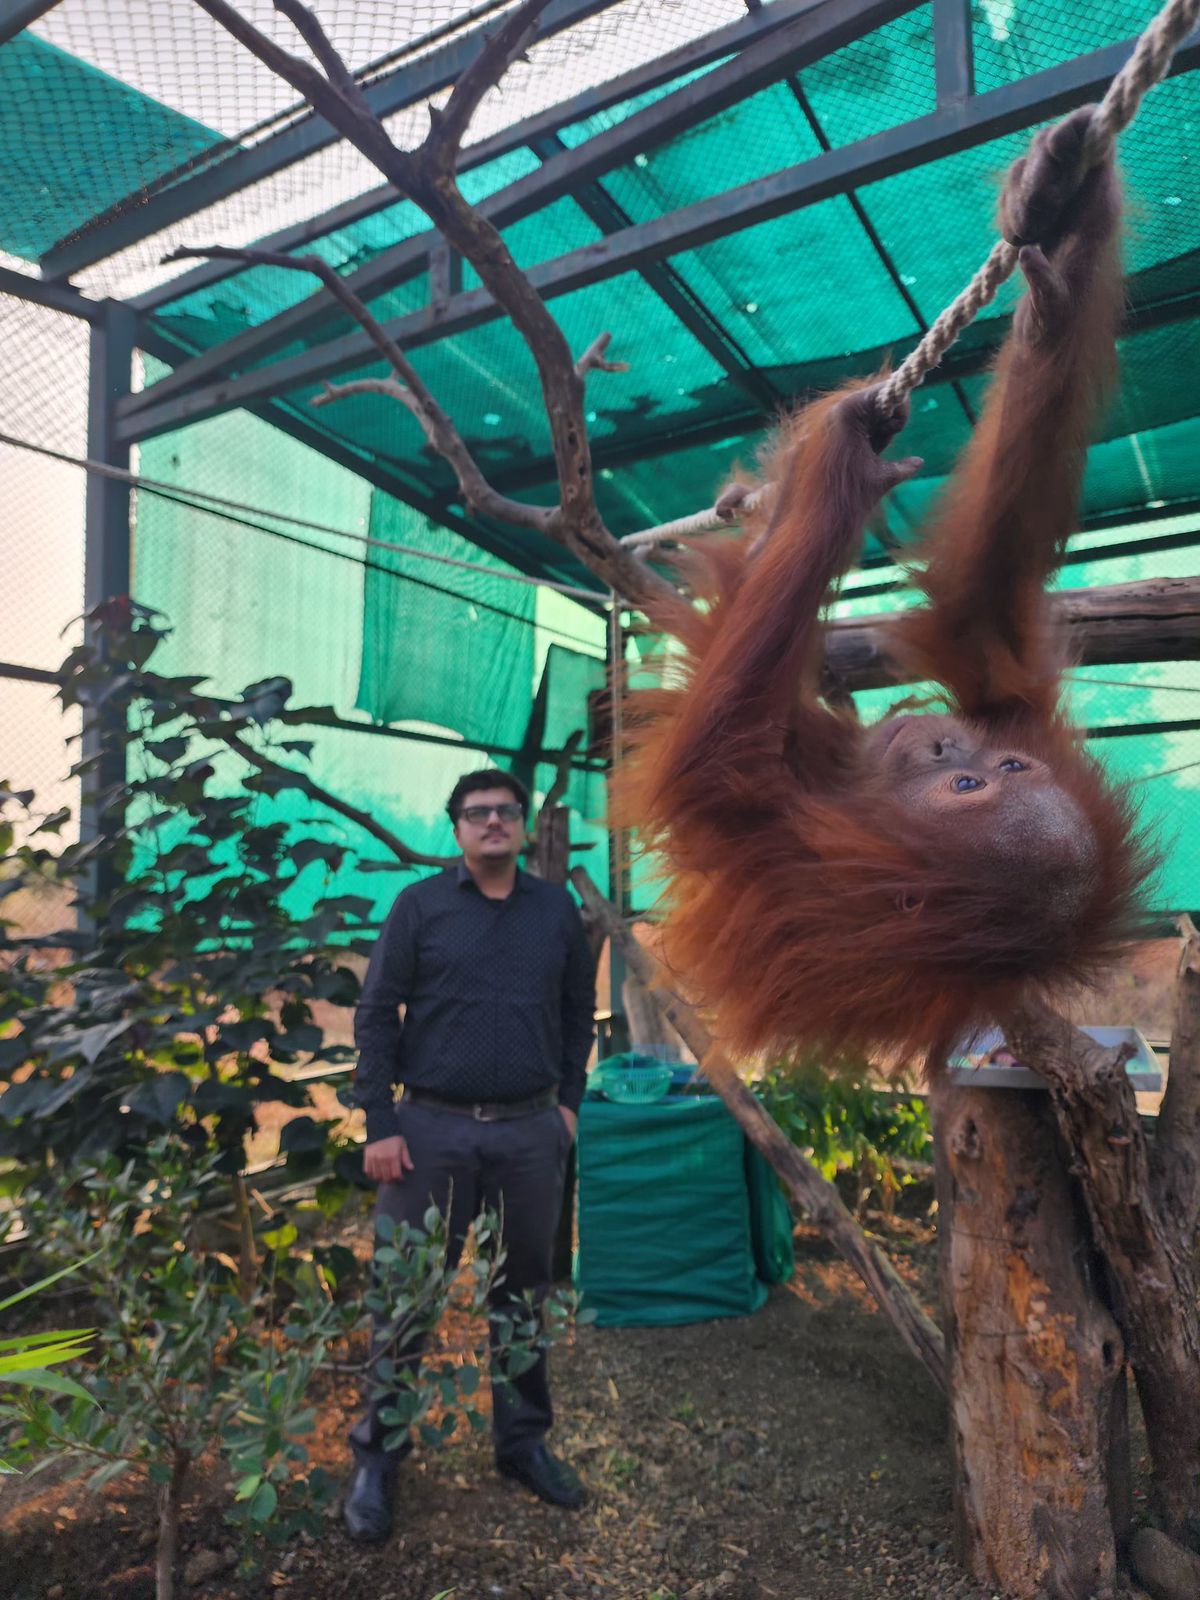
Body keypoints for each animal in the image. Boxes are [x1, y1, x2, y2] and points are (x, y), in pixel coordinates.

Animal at [619, 107, 1155, 1074]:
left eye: (971, 789)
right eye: (991, 771)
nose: (945, 747)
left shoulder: (820, 889)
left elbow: (709, 766)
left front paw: (843, 473)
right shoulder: (1020, 716)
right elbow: (982, 604)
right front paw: (1057, 229)